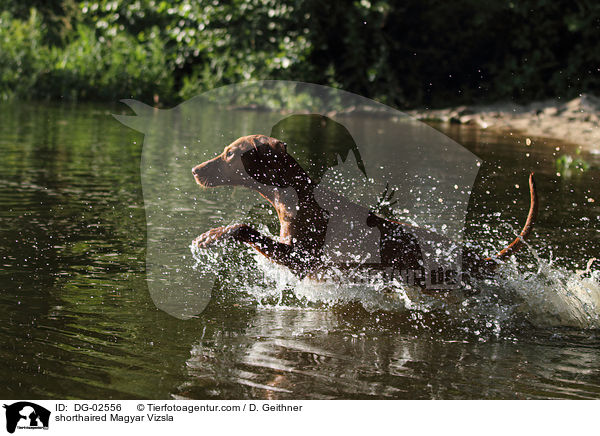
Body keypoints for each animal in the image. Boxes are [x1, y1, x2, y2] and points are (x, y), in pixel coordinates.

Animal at [192, 133, 540, 290]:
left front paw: (213, 235)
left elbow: (244, 227)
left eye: (229, 154)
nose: (195, 170)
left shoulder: (302, 260)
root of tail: (482, 258)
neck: (296, 197)